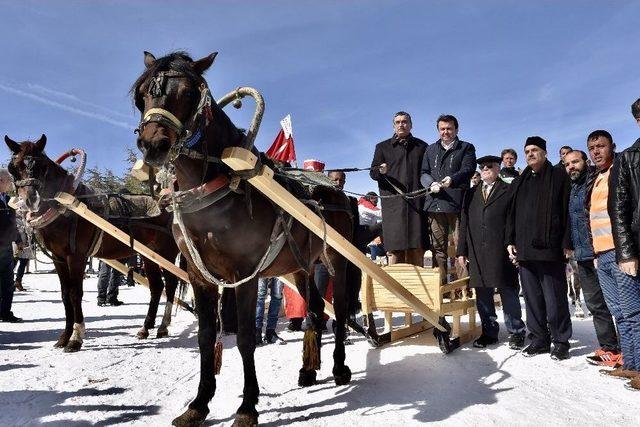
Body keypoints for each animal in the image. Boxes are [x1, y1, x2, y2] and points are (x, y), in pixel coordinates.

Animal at [5, 135, 184, 352]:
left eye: (42, 166)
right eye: (13, 167)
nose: (30, 200)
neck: (65, 207)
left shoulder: (76, 257)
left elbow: (75, 294)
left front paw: (75, 338)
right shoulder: (59, 258)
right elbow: (65, 295)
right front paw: (64, 337)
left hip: (166, 253)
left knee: (172, 283)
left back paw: (163, 325)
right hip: (149, 255)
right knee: (157, 287)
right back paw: (146, 327)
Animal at [131, 51, 360, 427]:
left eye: (188, 93)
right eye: (143, 96)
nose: (153, 145)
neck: (219, 190)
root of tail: (338, 192)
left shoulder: (244, 275)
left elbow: (246, 339)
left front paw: (247, 406)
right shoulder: (199, 276)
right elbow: (206, 336)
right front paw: (199, 404)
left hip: (336, 260)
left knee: (338, 312)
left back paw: (340, 367)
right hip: (300, 266)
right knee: (313, 310)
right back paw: (309, 369)